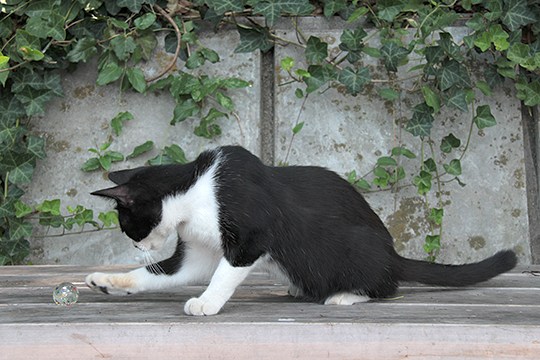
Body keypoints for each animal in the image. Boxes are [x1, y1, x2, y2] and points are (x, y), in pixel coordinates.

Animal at [88, 146, 520, 316]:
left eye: (127, 226)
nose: (136, 245)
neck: (196, 191)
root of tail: (393, 254)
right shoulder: (197, 252)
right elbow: (156, 275)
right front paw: (108, 281)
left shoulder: (251, 237)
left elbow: (224, 274)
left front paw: (207, 302)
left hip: (358, 249)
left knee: (386, 286)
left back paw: (346, 295)